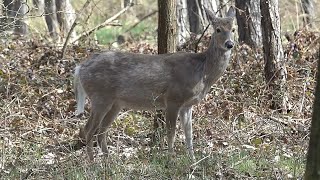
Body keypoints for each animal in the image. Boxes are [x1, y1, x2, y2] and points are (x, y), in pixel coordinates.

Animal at [74, 6, 235, 162]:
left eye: (233, 29)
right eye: (218, 29)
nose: (230, 44)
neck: (201, 72)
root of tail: (80, 68)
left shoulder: (187, 105)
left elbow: (189, 134)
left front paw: (193, 160)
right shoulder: (173, 99)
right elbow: (171, 133)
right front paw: (171, 160)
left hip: (115, 103)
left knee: (101, 131)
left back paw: (109, 163)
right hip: (100, 96)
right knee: (88, 129)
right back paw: (93, 163)